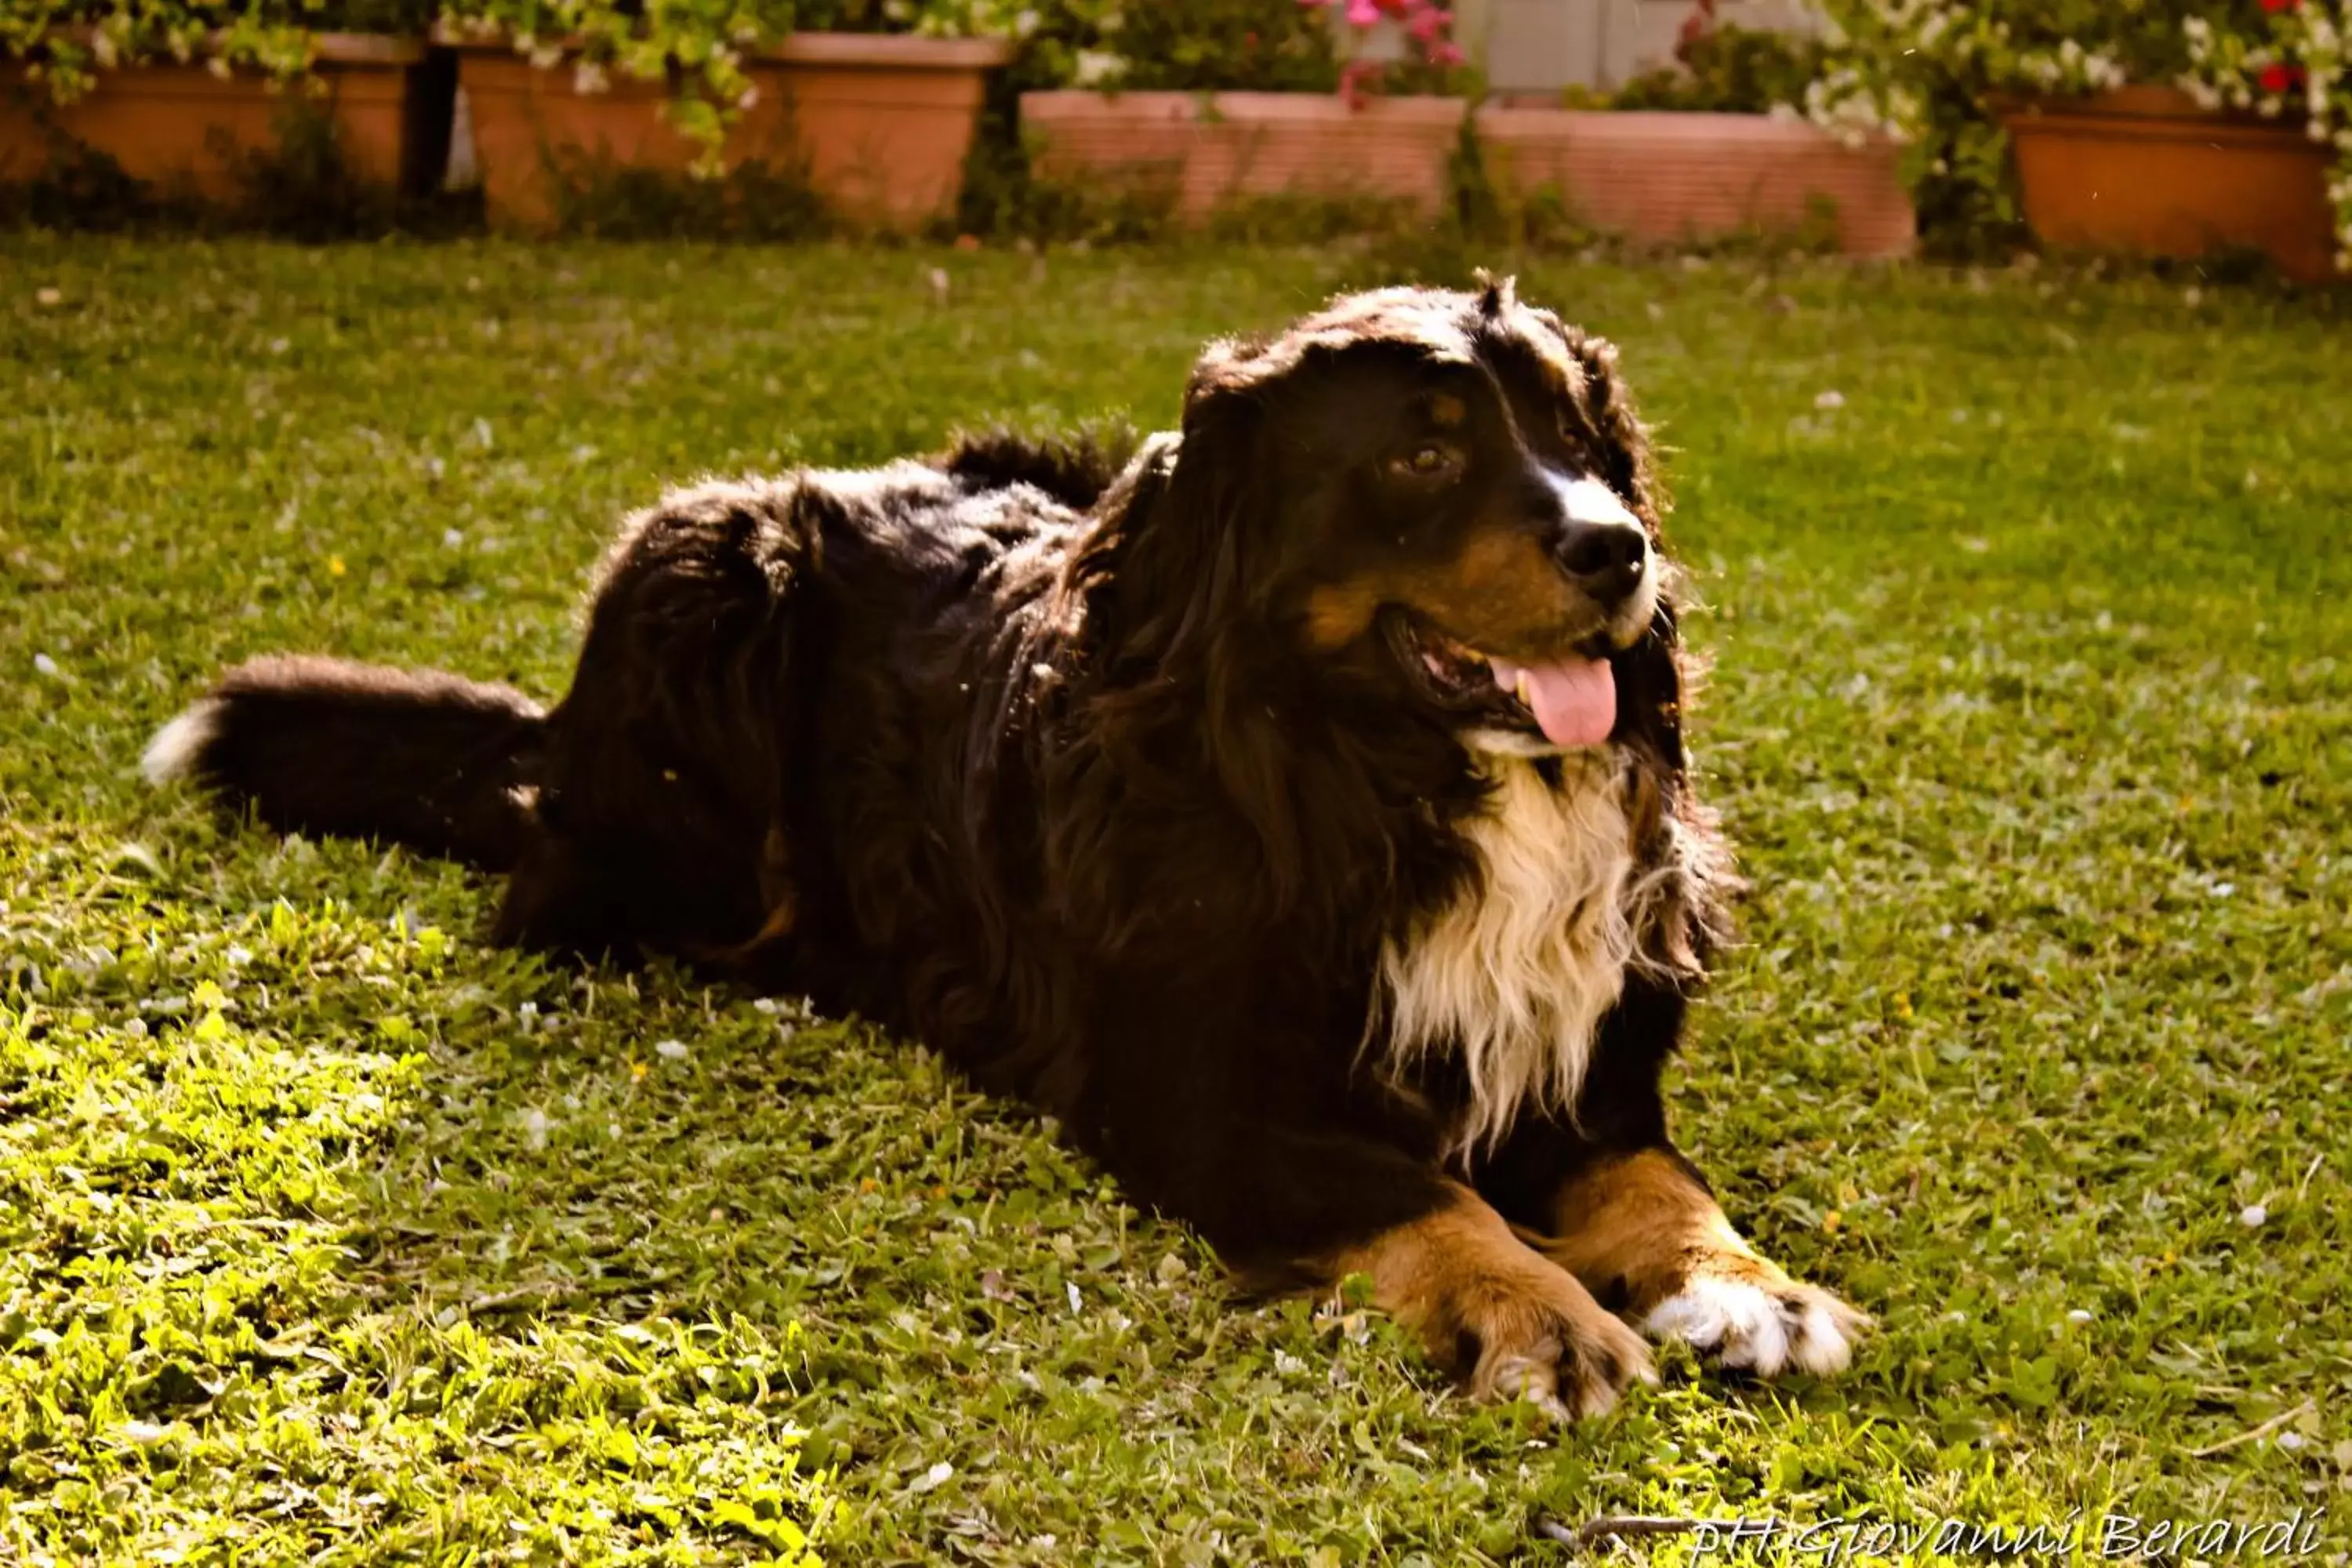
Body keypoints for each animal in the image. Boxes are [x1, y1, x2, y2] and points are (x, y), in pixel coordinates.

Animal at [151, 276, 1872, 1420]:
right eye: (1427, 454)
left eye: (1584, 437)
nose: (1619, 549)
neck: (1375, 775)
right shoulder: (1197, 1085)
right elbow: (1422, 1194)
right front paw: (1542, 1311)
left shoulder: (1586, 1059)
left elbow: (1657, 1176)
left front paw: (1750, 1285)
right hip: (706, 577)